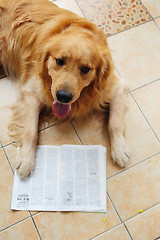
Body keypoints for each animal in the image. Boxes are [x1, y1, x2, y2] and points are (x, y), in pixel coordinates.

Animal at [0, 0, 130, 177]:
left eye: (85, 69)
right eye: (59, 61)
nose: (63, 96)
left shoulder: (115, 87)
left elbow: (115, 123)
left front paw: (120, 150)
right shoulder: (32, 92)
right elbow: (30, 131)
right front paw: (26, 160)